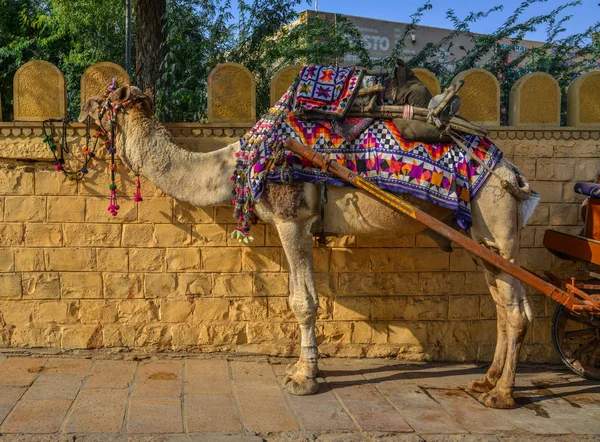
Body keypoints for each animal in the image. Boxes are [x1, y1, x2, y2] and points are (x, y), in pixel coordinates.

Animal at [79, 84, 536, 410]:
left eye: (103, 100)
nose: (81, 111)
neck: (238, 165)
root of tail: (512, 171)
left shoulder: (291, 218)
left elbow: (303, 302)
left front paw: (303, 378)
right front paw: (303, 369)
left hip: (495, 218)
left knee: (516, 309)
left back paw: (501, 396)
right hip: (478, 237)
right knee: (501, 300)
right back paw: (486, 380)